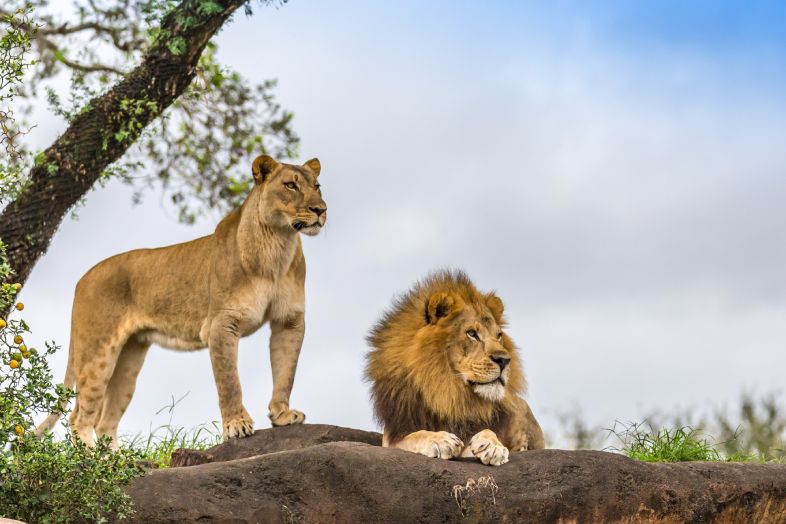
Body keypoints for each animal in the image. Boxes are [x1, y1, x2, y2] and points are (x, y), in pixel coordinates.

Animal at [36, 154, 324, 444]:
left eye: (317, 186)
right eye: (290, 185)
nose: (321, 210)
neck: (277, 246)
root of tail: (81, 279)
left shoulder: (290, 320)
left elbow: (286, 371)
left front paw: (282, 414)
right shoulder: (221, 324)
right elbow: (230, 381)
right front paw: (237, 425)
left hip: (129, 358)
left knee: (104, 422)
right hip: (97, 352)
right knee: (80, 418)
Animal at [364, 270, 544, 466]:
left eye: (499, 335)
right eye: (471, 333)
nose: (504, 360)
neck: (451, 393)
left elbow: (487, 433)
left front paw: (491, 445)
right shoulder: (391, 438)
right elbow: (415, 435)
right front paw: (440, 439)